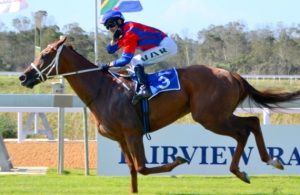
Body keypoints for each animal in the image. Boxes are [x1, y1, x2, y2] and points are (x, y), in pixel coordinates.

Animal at [18, 37, 300, 193]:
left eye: (45, 55)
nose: (23, 77)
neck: (105, 89)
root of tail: (231, 74)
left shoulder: (133, 133)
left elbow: (142, 167)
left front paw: (180, 159)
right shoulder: (121, 138)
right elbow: (132, 170)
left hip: (210, 117)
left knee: (244, 130)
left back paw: (247, 169)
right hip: (217, 115)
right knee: (252, 122)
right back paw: (269, 160)